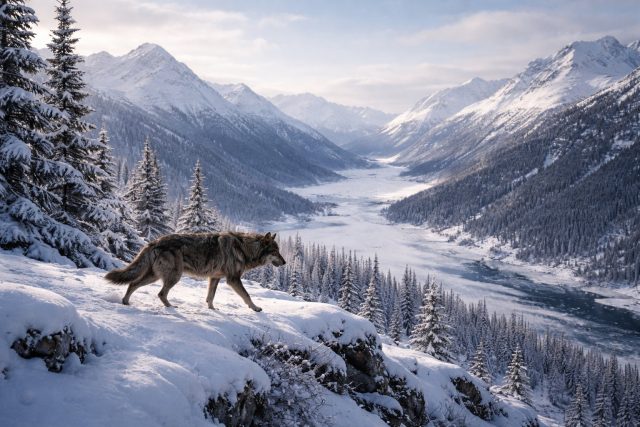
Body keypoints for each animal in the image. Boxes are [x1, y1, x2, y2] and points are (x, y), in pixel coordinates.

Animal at [104, 232, 286, 311]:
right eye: (276, 252)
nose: (285, 262)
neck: (244, 248)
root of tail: (155, 241)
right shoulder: (233, 279)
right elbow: (247, 296)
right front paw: (255, 308)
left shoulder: (214, 278)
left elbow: (210, 297)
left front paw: (212, 309)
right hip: (174, 277)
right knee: (161, 293)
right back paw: (171, 307)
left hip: (154, 276)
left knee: (132, 284)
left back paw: (126, 302)